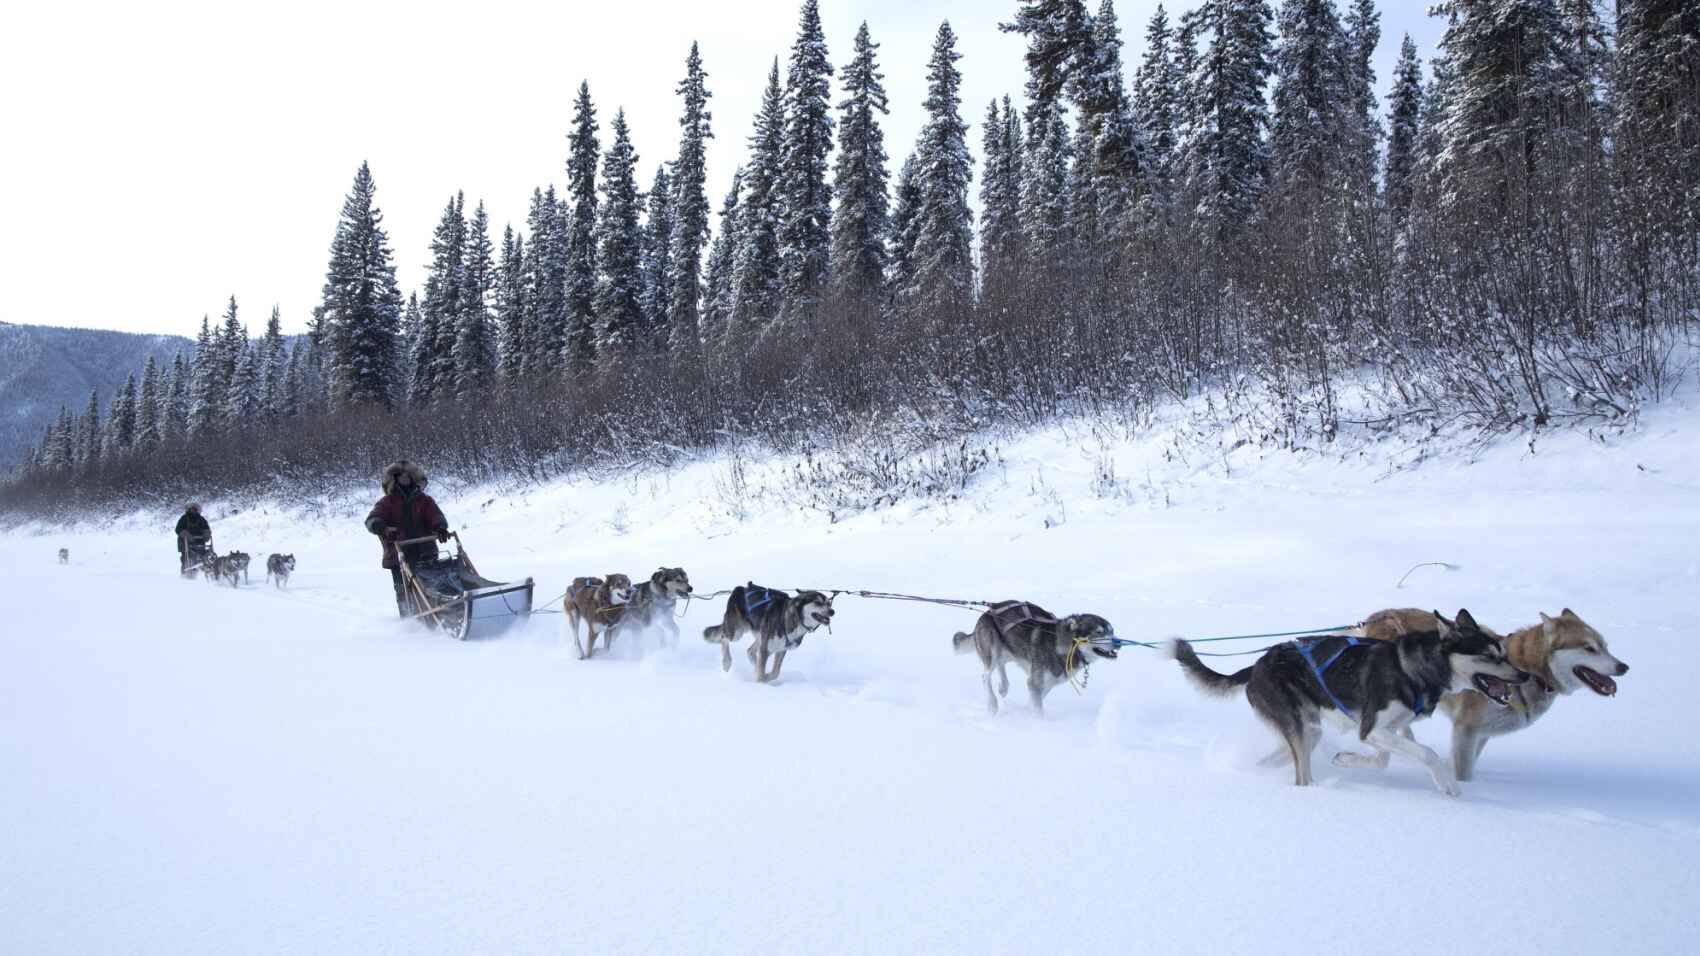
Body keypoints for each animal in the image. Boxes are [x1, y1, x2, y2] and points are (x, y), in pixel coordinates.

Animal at [700, 581, 833, 677]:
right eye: (818, 602)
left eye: (829, 603)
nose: (833, 611)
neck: (789, 618)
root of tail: (741, 588)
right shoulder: (766, 649)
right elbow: (762, 674)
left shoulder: (780, 650)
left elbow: (775, 673)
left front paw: (767, 677)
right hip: (737, 632)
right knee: (724, 638)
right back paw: (726, 662)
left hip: (761, 635)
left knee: (750, 651)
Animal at [952, 598, 1122, 711]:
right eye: (1099, 632)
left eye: (1112, 631)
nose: (1118, 642)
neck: (1065, 646)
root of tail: (988, 611)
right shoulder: (1035, 683)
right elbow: (1038, 709)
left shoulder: (1045, 684)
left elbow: (1035, 703)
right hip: (992, 651)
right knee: (985, 676)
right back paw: (992, 704)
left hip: (1008, 649)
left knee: (1001, 665)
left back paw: (1003, 687)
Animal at [1169, 605, 1530, 792]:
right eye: (1489, 655)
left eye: (1503, 652)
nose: (1526, 676)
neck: (1411, 667)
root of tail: (1256, 664)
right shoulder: (1372, 728)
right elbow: (1427, 753)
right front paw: (1448, 784)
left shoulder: (1388, 728)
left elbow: (1384, 758)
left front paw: (1346, 759)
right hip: (1298, 725)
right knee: (1302, 774)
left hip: (1309, 729)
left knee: (1287, 755)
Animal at [1346, 605, 1625, 779]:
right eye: (1589, 648)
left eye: (1605, 646)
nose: (1624, 666)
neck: (1531, 670)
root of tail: (1377, 616)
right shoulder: (1466, 730)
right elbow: (1463, 773)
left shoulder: (1481, 734)